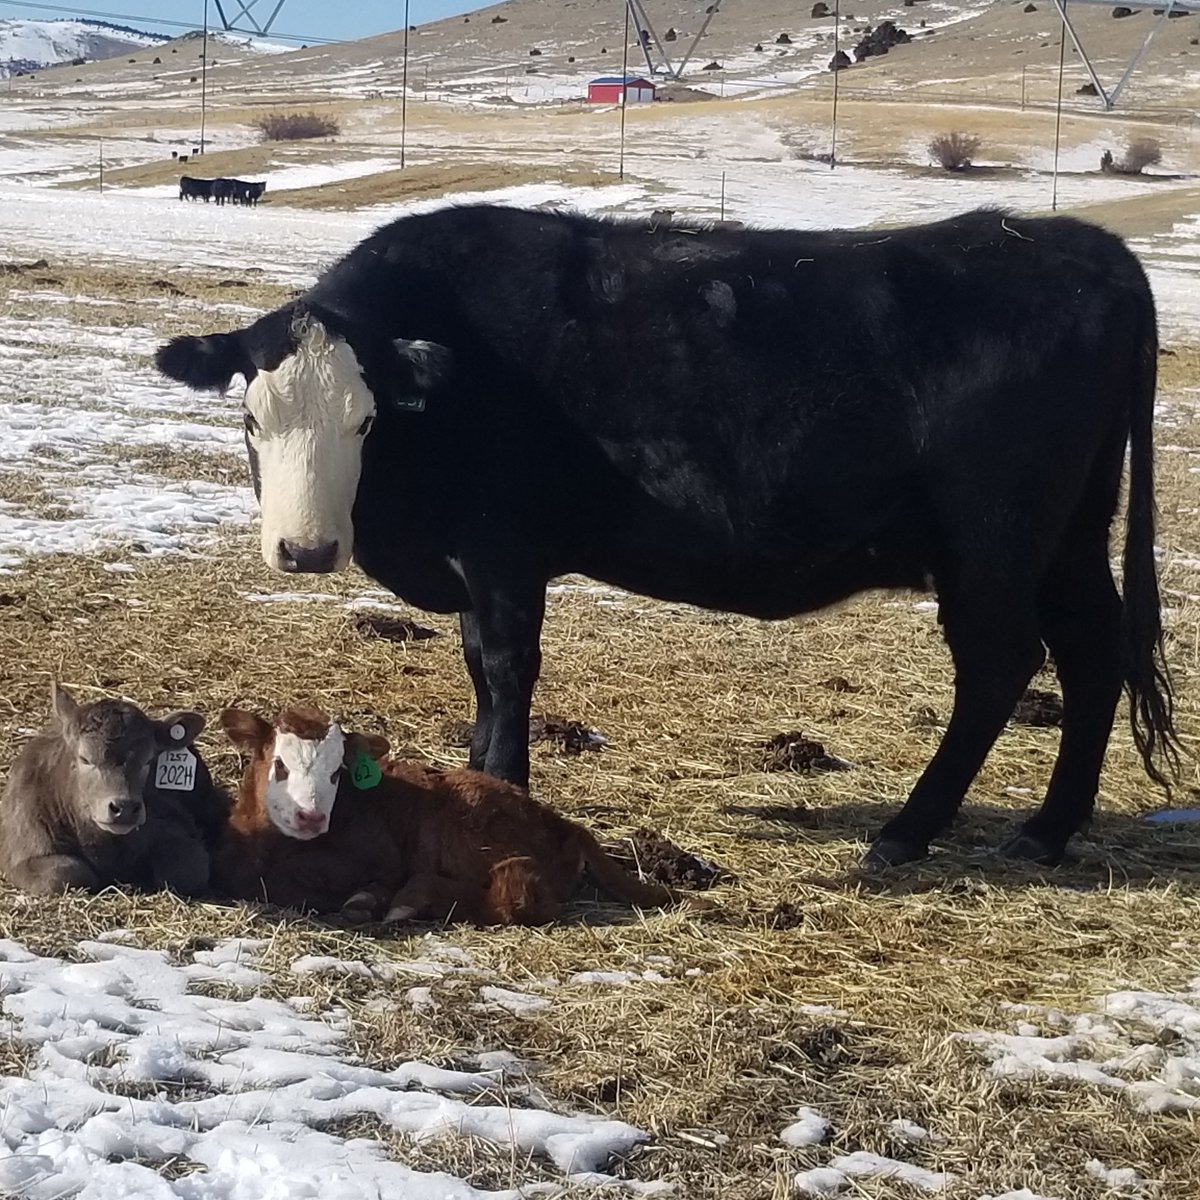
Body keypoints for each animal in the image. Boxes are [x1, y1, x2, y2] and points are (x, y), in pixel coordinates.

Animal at [154, 205, 1180, 868]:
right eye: (251, 417)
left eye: (367, 421)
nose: (305, 551)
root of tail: (1085, 246)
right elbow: (478, 669)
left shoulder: (502, 550)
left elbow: (506, 667)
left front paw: (506, 787)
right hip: (1071, 536)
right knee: (1094, 650)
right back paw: (1046, 830)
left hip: (993, 543)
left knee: (1001, 665)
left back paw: (906, 832)